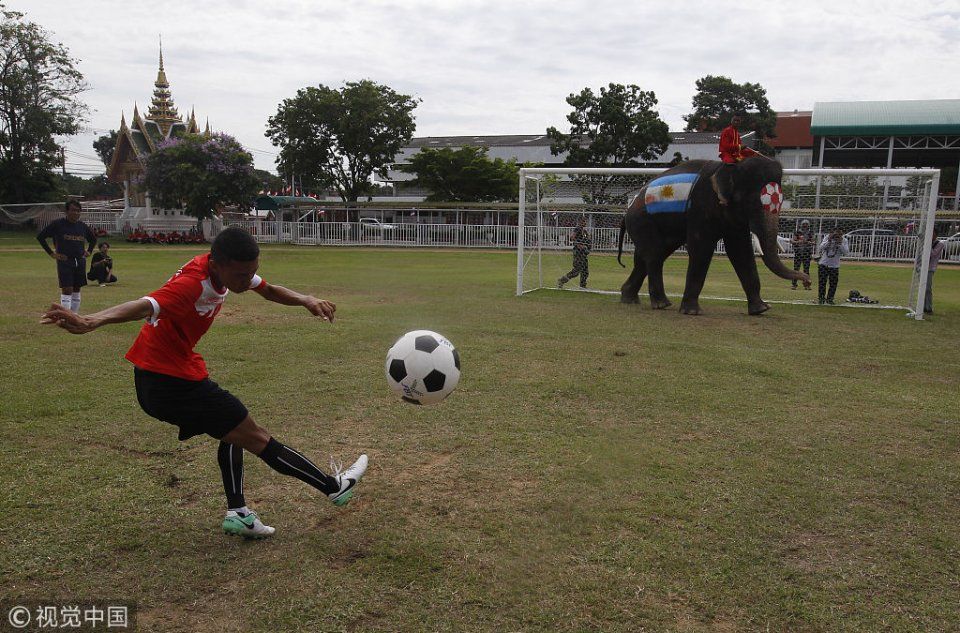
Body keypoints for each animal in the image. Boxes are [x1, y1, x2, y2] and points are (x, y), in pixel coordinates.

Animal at [616, 157, 808, 314]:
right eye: (753, 203)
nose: (808, 281)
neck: (730, 166)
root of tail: (628, 210)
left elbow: (741, 251)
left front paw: (761, 309)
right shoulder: (700, 205)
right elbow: (701, 248)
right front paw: (691, 312)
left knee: (648, 256)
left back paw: (629, 299)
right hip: (642, 221)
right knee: (654, 255)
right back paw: (662, 304)